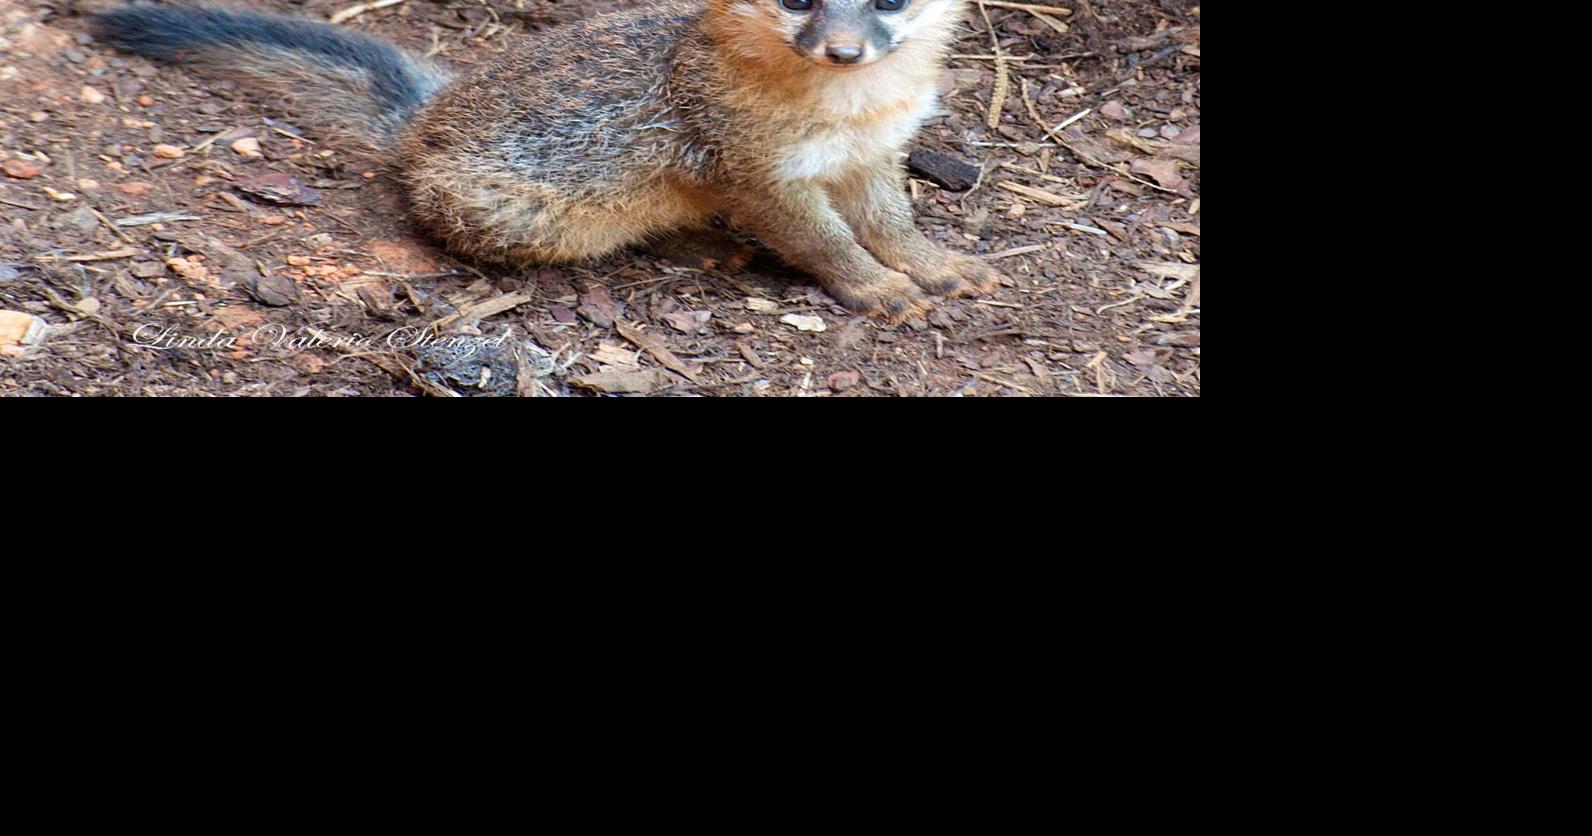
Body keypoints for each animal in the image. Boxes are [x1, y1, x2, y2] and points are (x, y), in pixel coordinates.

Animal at [94, 0, 1003, 321]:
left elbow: (892, 223)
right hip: (534, 217)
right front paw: (876, 287)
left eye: (888, 0)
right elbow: (828, 242)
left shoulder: (876, 158)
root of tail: (428, 111)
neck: (849, 108)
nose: (844, 50)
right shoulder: (760, 179)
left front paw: (936, 266)